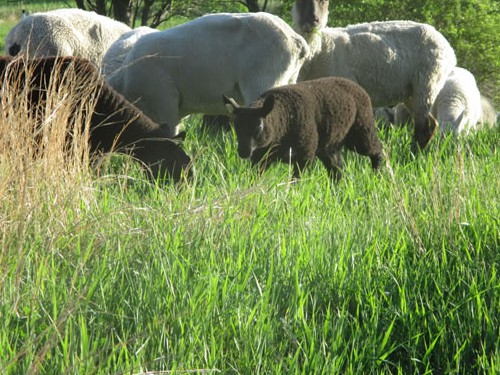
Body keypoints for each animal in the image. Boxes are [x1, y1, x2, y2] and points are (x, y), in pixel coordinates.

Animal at [223, 76, 382, 182]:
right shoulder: (261, 158)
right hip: (329, 145)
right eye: (236, 127)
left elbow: (296, 181)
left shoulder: (304, 155)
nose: (243, 153)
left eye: (259, 126)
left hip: (362, 130)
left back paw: (377, 175)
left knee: (377, 149)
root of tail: (356, 85)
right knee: (336, 169)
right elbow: (255, 179)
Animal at [292, 0, 456, 150]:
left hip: (427, 83)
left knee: (423, 127)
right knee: (431, 124)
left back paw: (413, 156)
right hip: (412, 92)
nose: (313, 20)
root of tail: (448, 48)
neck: (320, 49)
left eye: (323, 1)